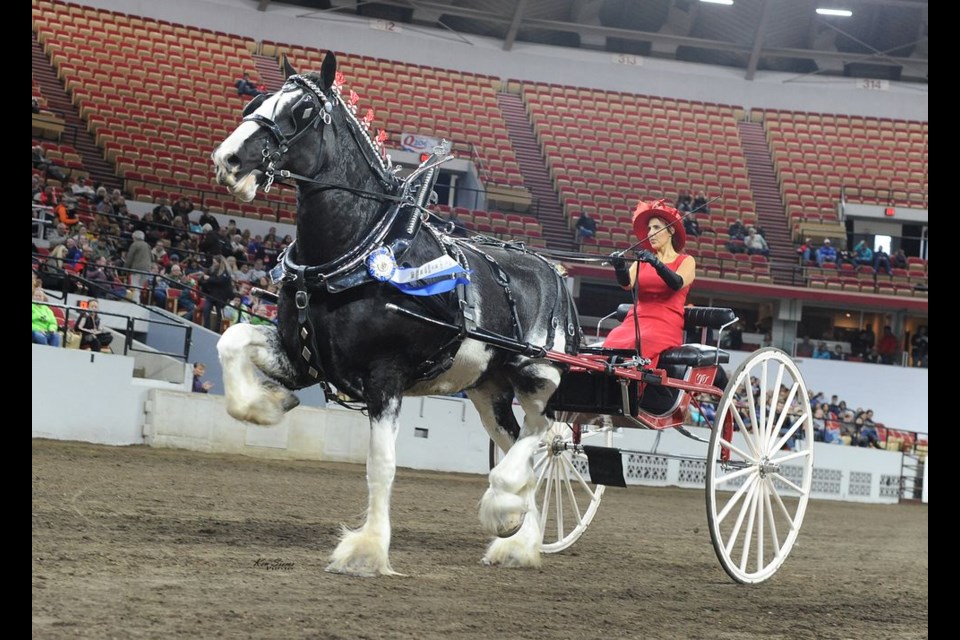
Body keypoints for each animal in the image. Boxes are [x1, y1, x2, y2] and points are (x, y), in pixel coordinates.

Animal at [211, 52, 580, 576]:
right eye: (255, 101)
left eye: (303, 111)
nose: (228, 161)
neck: (361, 249)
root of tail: (554, 270)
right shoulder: (304, 357)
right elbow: (232, 340)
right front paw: (269, 404)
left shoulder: (385, 374)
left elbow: (381, 464)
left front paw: (367, 550)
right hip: (487, 389)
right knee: (522, 441)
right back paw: (518, 540)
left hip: (536, 373)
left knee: (548, 433)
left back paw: (505, 506)